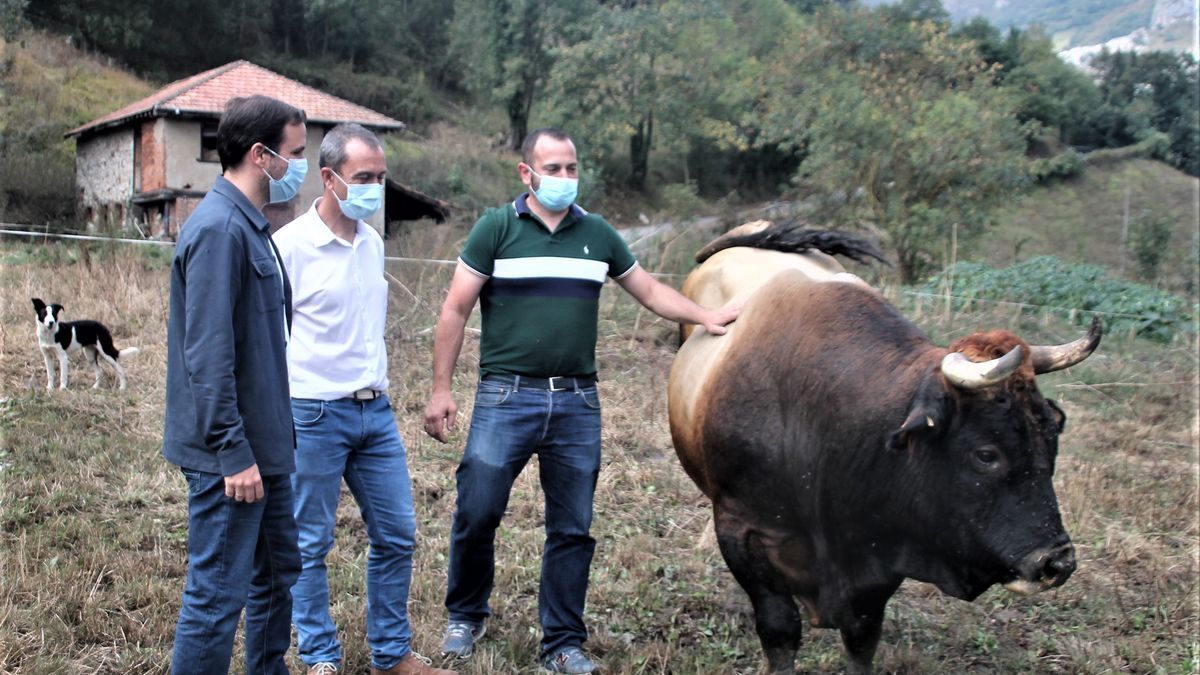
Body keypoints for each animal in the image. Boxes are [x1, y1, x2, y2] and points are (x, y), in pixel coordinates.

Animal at [672, 219, 1099, 667]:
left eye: (1051, 437)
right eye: (986, 454)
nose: (1058, 562)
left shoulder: (882, 550)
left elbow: (863, 637)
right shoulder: (741, 532)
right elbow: (780, 629)